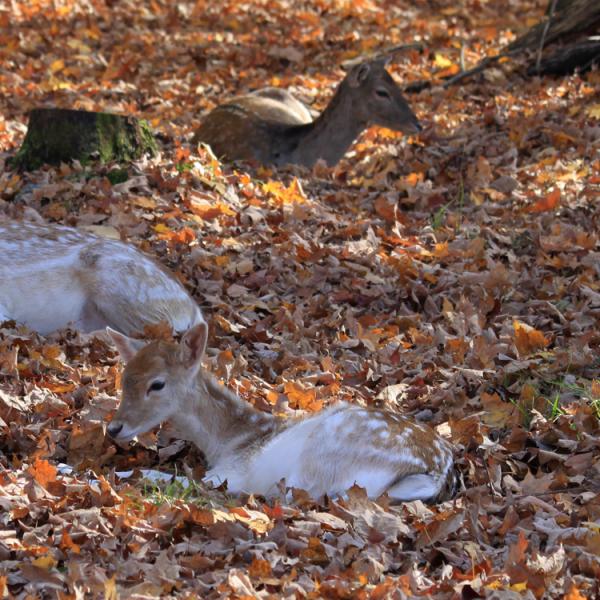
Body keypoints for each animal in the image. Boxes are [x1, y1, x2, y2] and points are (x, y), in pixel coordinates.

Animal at [106, 322, 454, 504]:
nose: (114, 428)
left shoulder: (230, 473)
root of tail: (436, 473)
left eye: (157, 384)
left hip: (319, 460)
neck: (228, 442)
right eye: (124, 378)